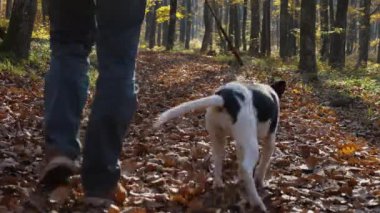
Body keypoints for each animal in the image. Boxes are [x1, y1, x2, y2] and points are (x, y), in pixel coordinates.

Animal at [154, 80, 284, 211]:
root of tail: (224, 97)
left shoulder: (240, 144)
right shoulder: (270, 140)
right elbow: (263, 164)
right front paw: (260, 182)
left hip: (218, 136)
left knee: (218, 160)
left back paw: (218, 184)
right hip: (251, 144)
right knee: (246, 168)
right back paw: (257, 202)